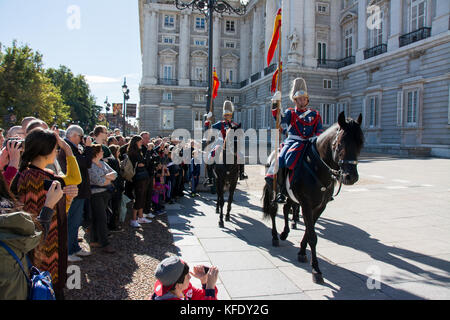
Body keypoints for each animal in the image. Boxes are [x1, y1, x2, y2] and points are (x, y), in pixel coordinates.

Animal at [262, 112, 364, 282]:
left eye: (361, 143)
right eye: (340, 144)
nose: (351, 177)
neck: (317, 167)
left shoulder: (319, 206)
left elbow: (309, 232)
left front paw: (302, 252)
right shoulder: (306, 204)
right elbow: (312, 236)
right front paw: (316, 270)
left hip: (290, 196)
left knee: (286, 209)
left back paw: (285, 232)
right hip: (273, 190)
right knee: (273, 210)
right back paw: (275, 236)